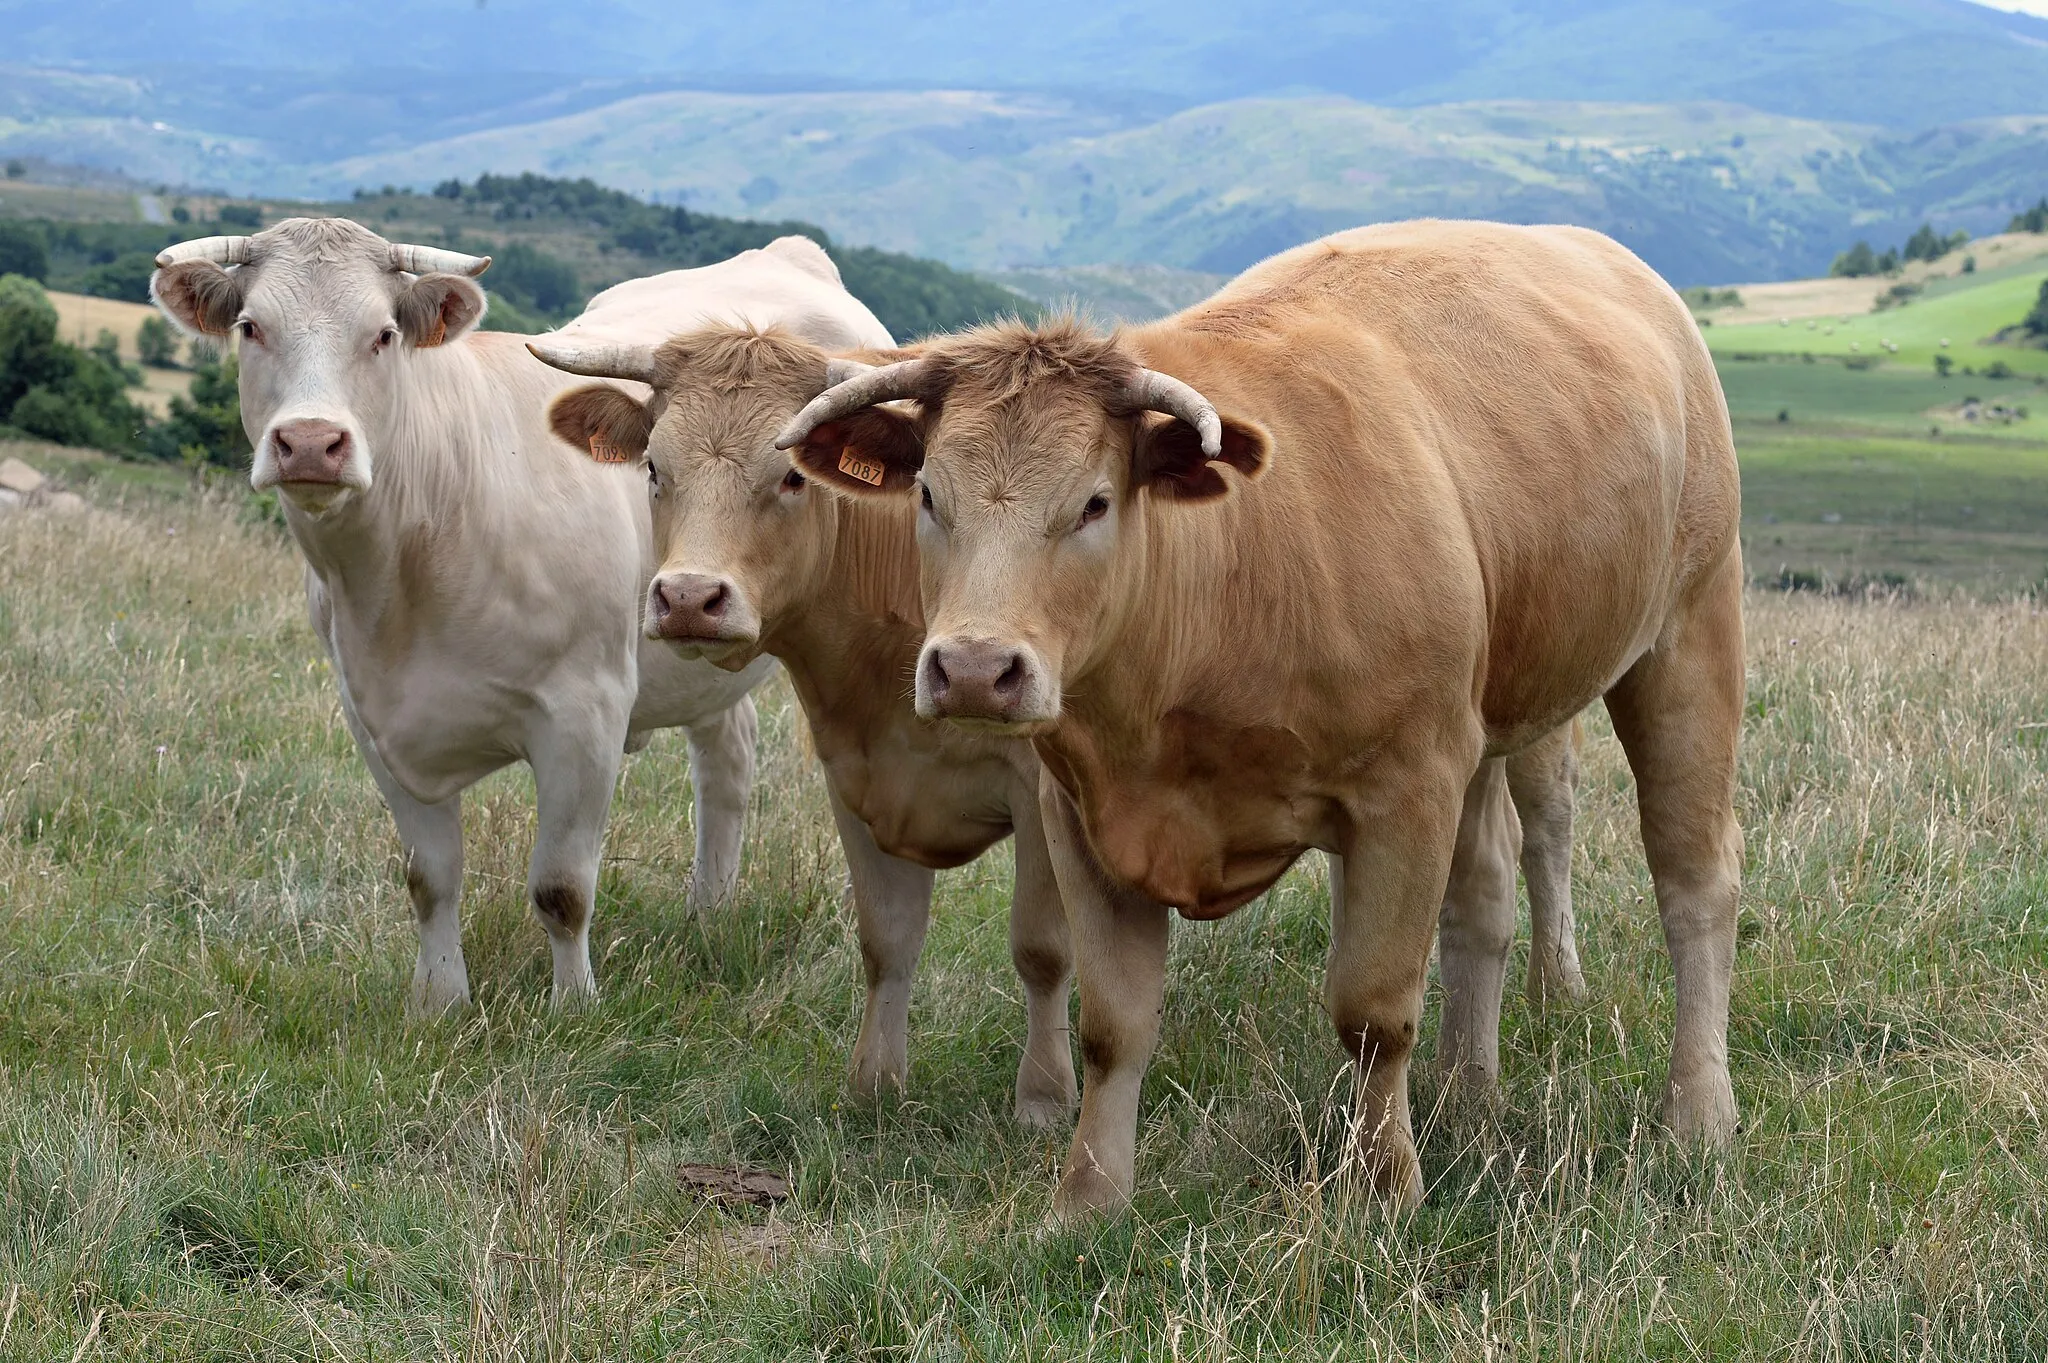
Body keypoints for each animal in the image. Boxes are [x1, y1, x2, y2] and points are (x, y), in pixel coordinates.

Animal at [144, 220, 876, 1006]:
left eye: (382, 335)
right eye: (251, 328)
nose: (310, 442)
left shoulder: (585, 715)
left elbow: (562, 888)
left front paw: (575, 1006)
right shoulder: (373, 720)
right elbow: (429, 880)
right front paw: (439, 1003)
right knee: (727, 760)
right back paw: (707, 914)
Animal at [774, 220, 1736, 1211]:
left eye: (1094, 501)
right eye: (930, 496)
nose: (972, 669)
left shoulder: (1407, 789)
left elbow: (1373, 1009)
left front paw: (1384, 1186)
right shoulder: (1080, 814)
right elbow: (1113, 1024)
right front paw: (1086, 1201)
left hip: (1689, 632)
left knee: (1695, 880)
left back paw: (1697, 1114)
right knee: (1483, 893)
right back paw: (1466, 1096)